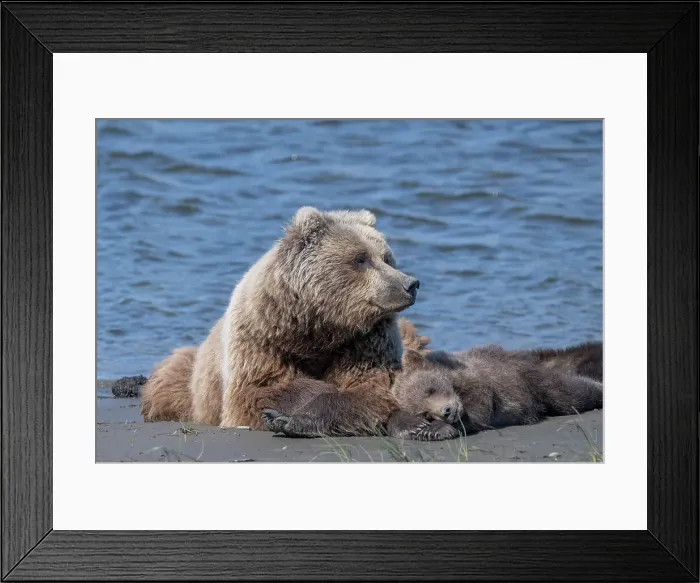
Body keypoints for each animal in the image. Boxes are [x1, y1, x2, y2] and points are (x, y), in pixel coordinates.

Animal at [141, 207, 451, 440]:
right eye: (360, 259)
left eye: (386, 257)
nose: (410, 283)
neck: (319, 326)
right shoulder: (260, 337)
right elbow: (260, 391)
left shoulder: (366, 341)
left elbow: (367, 387)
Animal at [392, 346, 603, 436]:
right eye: (425, 412)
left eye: (431, 389)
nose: (447, 412)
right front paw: (417, 427)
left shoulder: (480, 382)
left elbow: (477, 412)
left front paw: (435, 430)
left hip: (535, 380)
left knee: (571, 395)